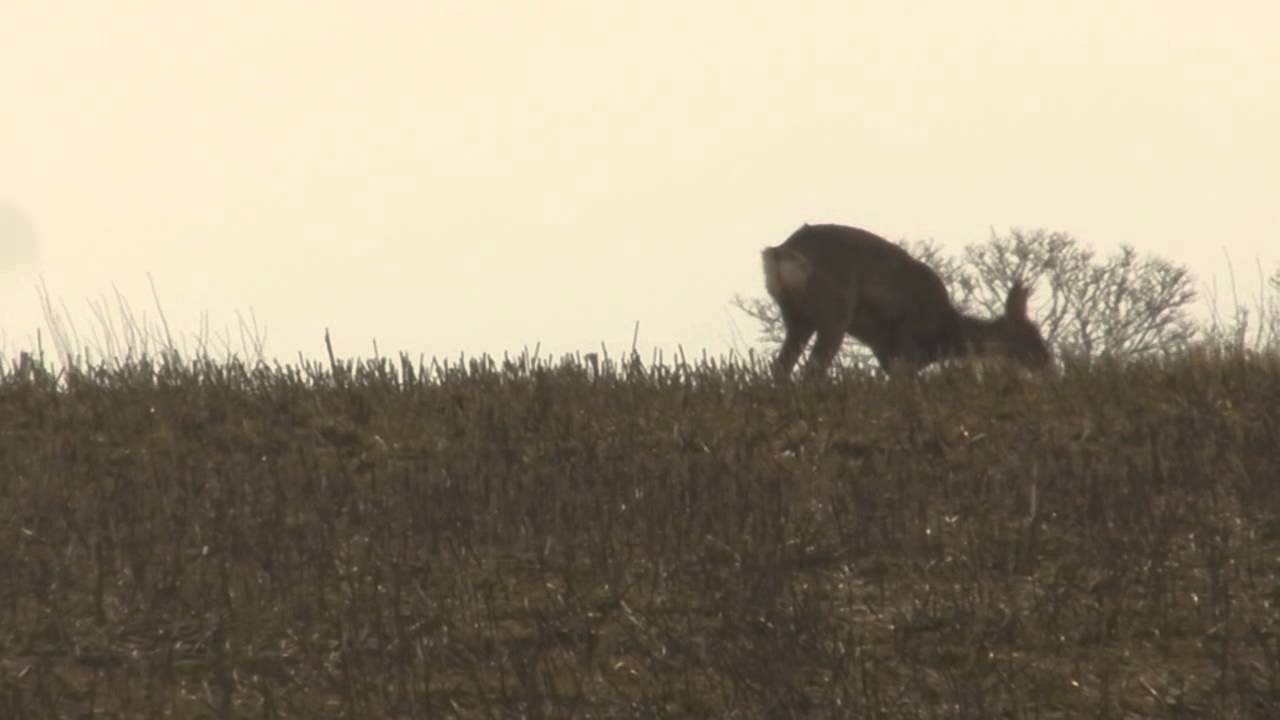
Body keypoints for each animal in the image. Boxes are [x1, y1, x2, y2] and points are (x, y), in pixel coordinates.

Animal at [762, 223, 1052, 379]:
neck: (945, 332)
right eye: (1030, 333)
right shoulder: (906, 344)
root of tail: (780, 252)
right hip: (835, 310)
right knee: (813, 368)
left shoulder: (887, 354)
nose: (1047, 361)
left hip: (796, 316)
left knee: (781, 366)